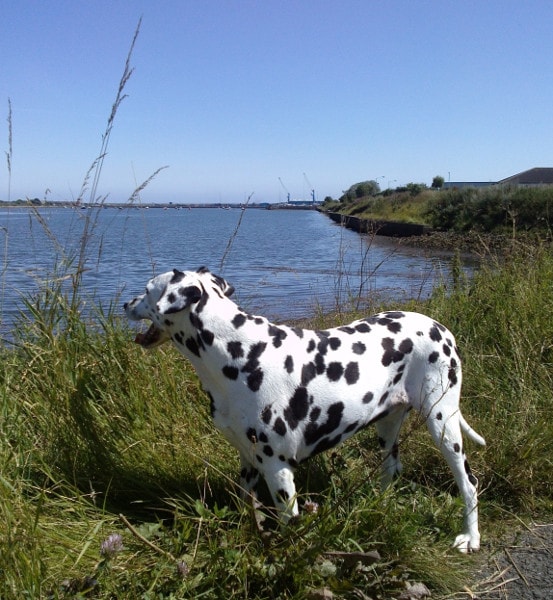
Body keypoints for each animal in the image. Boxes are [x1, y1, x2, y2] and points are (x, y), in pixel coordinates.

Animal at [124, 268, 484, 552]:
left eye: (147, 289)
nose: (126, 304)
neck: (240, 353)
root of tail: (441, 328)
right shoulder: (248, 461)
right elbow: (247, 507)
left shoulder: (278, 469)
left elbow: (289, 528)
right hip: (388, 427)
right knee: (391, 470)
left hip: (443, 425)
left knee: (468, 483)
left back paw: (470, 537)